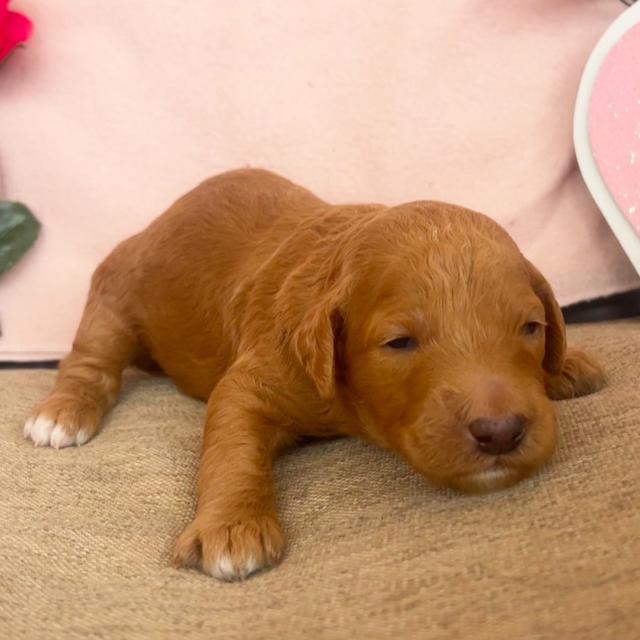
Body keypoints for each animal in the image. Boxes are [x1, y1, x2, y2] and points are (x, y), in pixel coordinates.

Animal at [23, 169, 604, 580]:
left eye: (530, 328)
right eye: (399, 343)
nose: (500, 433)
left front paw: (567, 362)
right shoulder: (253, 379)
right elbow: (232, 445)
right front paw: (232, 527)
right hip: (114, 294)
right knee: (89, 360)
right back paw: (61, 415)